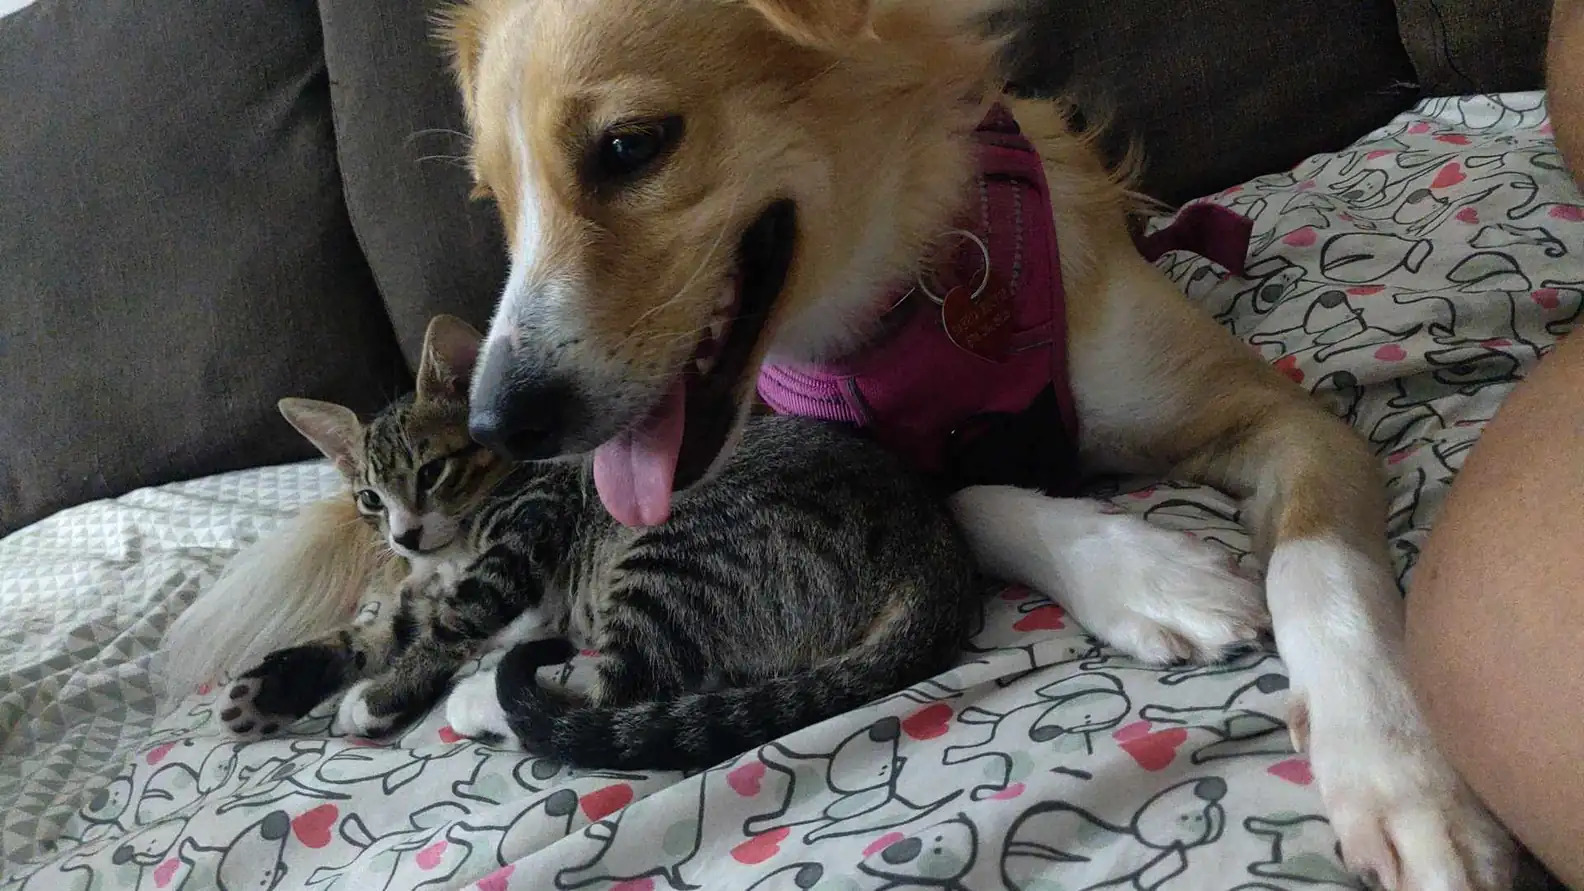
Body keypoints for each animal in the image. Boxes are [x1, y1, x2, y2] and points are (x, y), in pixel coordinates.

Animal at [217, 313, 969, 770]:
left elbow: (450, 625)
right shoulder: (427, 579)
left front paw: (381, 695)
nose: (404, 533)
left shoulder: (524, 537)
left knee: (621, 687)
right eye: (371, 498)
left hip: (676, 548)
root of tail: (932, 539)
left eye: (432, 472)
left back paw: (481, 699)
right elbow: (380, 627)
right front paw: (272, 686)